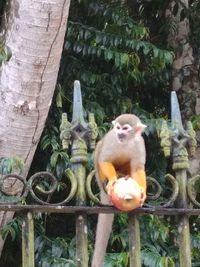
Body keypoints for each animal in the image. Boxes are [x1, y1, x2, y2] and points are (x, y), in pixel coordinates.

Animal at [91, 113, 146, 267]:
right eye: (118, 128)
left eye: (125, 128)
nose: (120, 133)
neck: (125, 142)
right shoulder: (111, 139)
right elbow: (104, 160)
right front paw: (112, 179)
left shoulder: (139, 143)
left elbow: (137, 168)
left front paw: (143, 191)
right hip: (98, 175)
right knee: (99, 148)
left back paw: (125, 174)